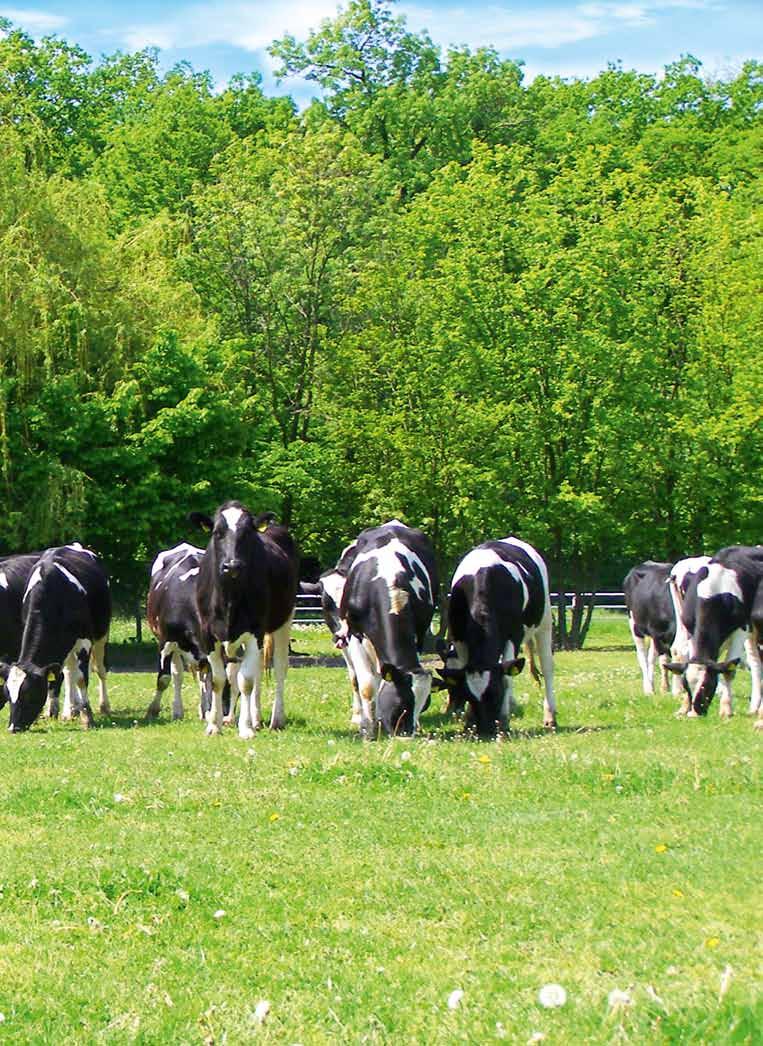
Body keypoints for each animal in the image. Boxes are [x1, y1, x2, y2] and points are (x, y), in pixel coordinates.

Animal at [0, 543, 110, 732]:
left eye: (30, 694)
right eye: (8, 694)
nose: (13, 728)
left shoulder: (84, 641)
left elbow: (81, 679)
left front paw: (87, 718)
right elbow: (59, 676)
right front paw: (53, 711)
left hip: (101, 634)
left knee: (99, 669)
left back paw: (104, 706)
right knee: (68, 671)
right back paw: (70, 710)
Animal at [145, 543, 208, 723]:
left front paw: (206, 711)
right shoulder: (165, 643)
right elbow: (163, 679)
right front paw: (153, 710)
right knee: (177, 674)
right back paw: (178, 711)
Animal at [189, 504, 297, 736]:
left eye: (247, 534)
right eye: (217, 532)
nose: (232, 566)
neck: (229, 597)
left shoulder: (255, 631)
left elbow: (245, 681)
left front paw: (245, 728)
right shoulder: (207, 634)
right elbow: (219, 680)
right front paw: (214, 725)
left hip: (285, 619)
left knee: (279, 667)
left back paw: (276, 719)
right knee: (257, 672)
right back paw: (256, 718)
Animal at [334, 520, 437, 736]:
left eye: (424, 704)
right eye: (401, 704)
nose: (408, 735)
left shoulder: (419, 632)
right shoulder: (355, 635)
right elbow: (366, 686)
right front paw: (368, 728)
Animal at [435, 539, 552, 736]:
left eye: (496, 693)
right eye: (468, 694)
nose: (485, 728)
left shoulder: (514, 635)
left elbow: (507, 677)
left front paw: (503, 720)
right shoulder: (459, 637)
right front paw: (469, 721)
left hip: (544, 621)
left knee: (547, 666)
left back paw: (550, 716)